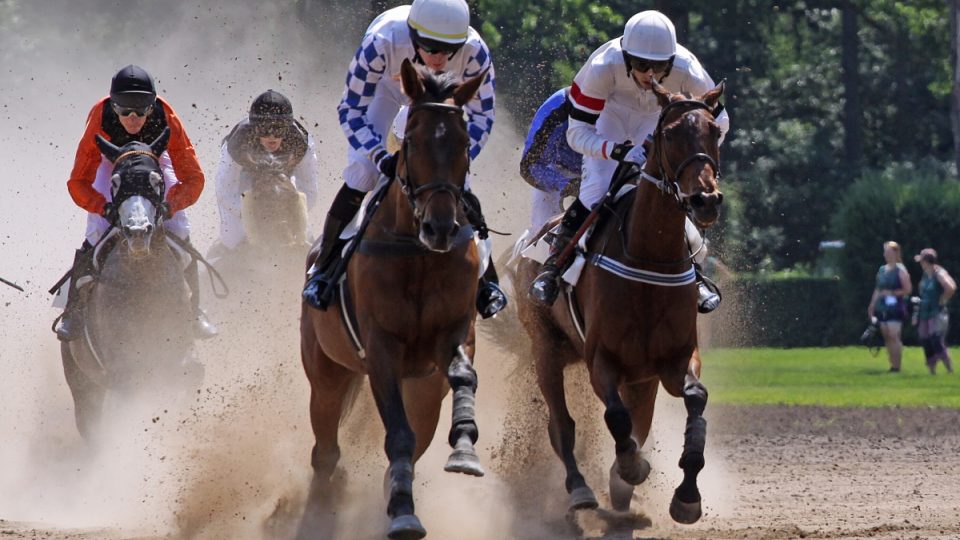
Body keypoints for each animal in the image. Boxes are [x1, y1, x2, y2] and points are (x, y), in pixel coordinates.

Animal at [60, 129, 199, 440]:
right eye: (115, 181)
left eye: (156, 180)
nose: (137, 232)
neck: (144, 284)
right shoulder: (123, 369)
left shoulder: (177, 356)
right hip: (82, 382)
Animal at [298, 57, 488, 536]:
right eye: (414, 141)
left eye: (464, 143)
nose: (440, 227)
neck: (416, 254)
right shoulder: (380, 347)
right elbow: (397, 436)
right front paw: (403, 509)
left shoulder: (455, 333)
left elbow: (463, 376)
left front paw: (464, 448)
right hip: (326, 371)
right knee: (325, 452)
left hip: (423, 387)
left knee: (418, 431)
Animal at [516, 82, 720, 524]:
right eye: (670, 134)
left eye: (714, 131)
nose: (705, 200)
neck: (649, 257)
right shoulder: (602, 360)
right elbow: (616, 417)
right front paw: (630, 468)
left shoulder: (673, 360)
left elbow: (694, 400)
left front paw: (686, 496)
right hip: (546, 347)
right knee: (562, 425)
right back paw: (580, 490)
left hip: (639, 377)